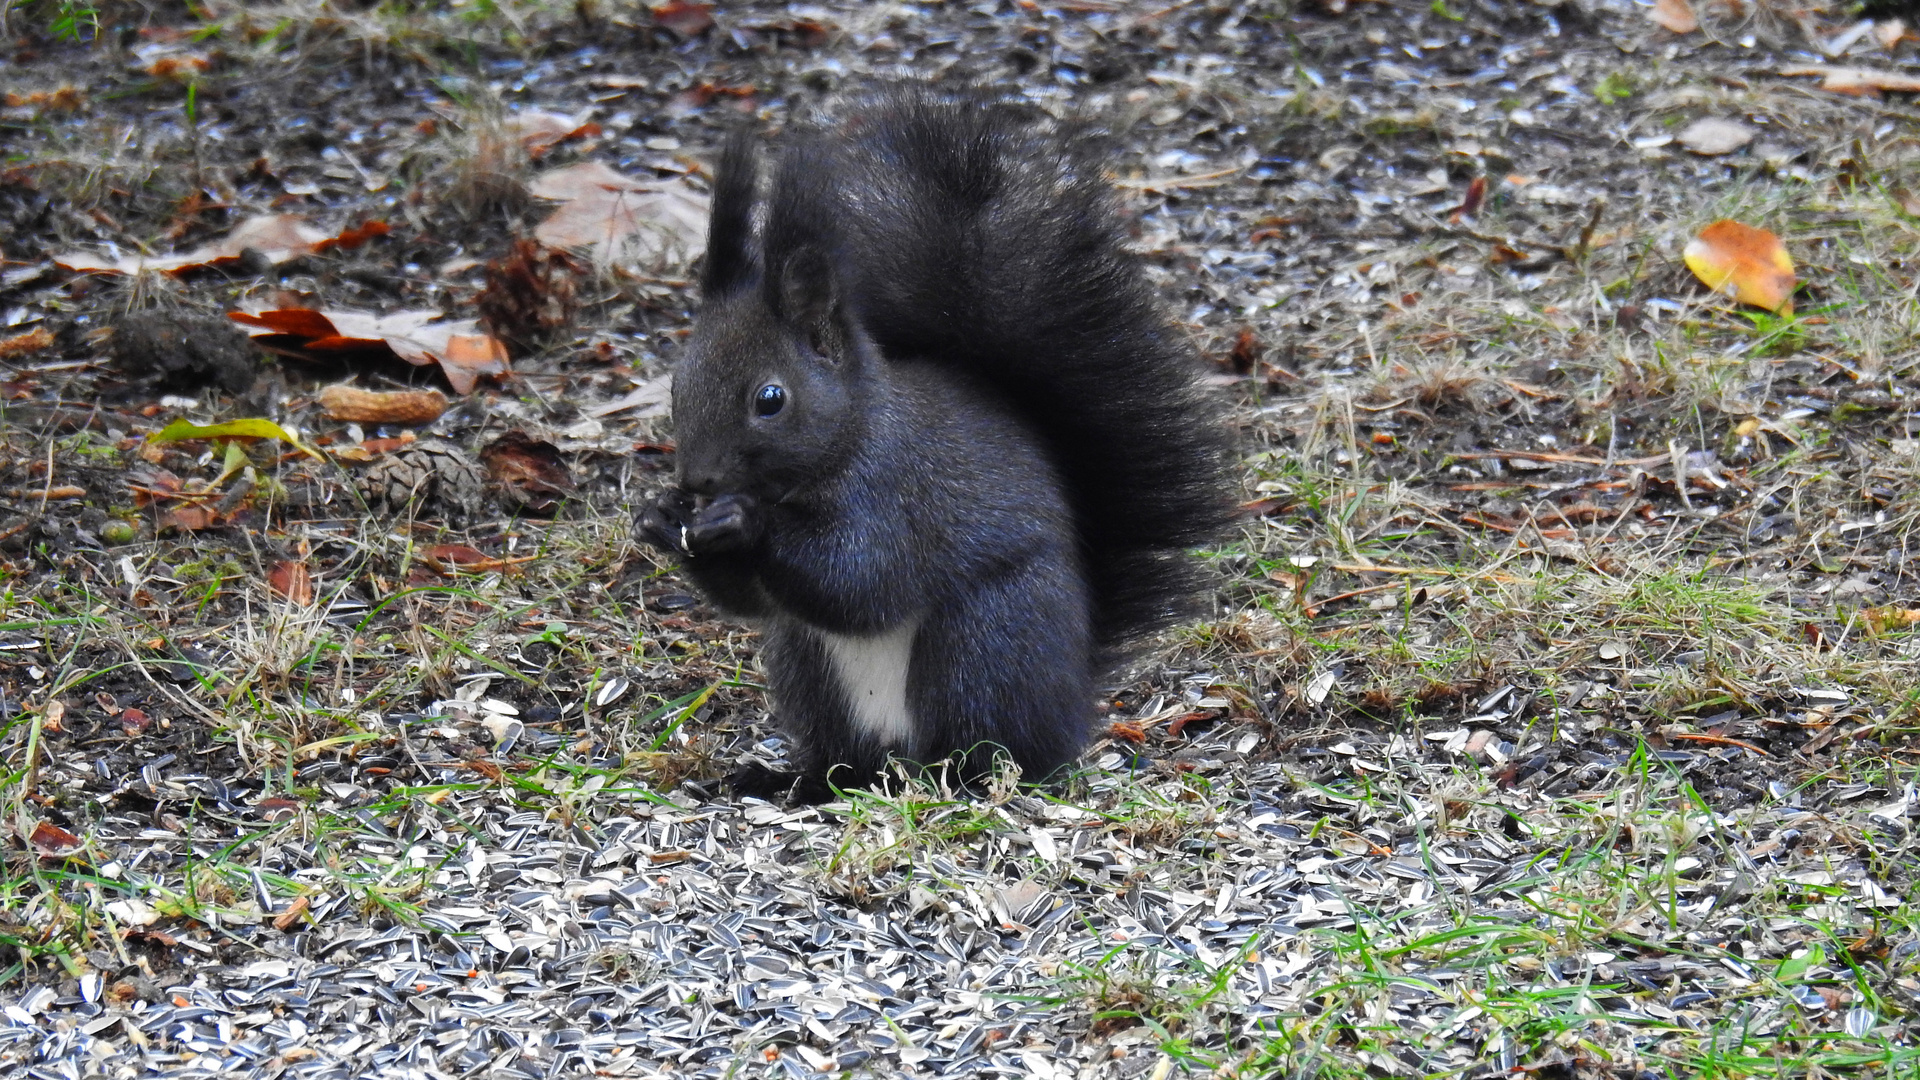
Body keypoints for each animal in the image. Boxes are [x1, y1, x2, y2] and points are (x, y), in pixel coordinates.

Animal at [637, 88, 1236, 799]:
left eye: (770, 399)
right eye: (678, 383)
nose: (696, 481)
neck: (851, 435)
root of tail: (1070, 706)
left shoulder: (898, 489)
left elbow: (860, 580)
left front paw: (743, 520)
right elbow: (751, 600)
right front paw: (659, 517)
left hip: (984, 643)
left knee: (985, 744)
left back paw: (962, 777)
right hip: (807, 664)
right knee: (846, 760)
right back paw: (792, 781)